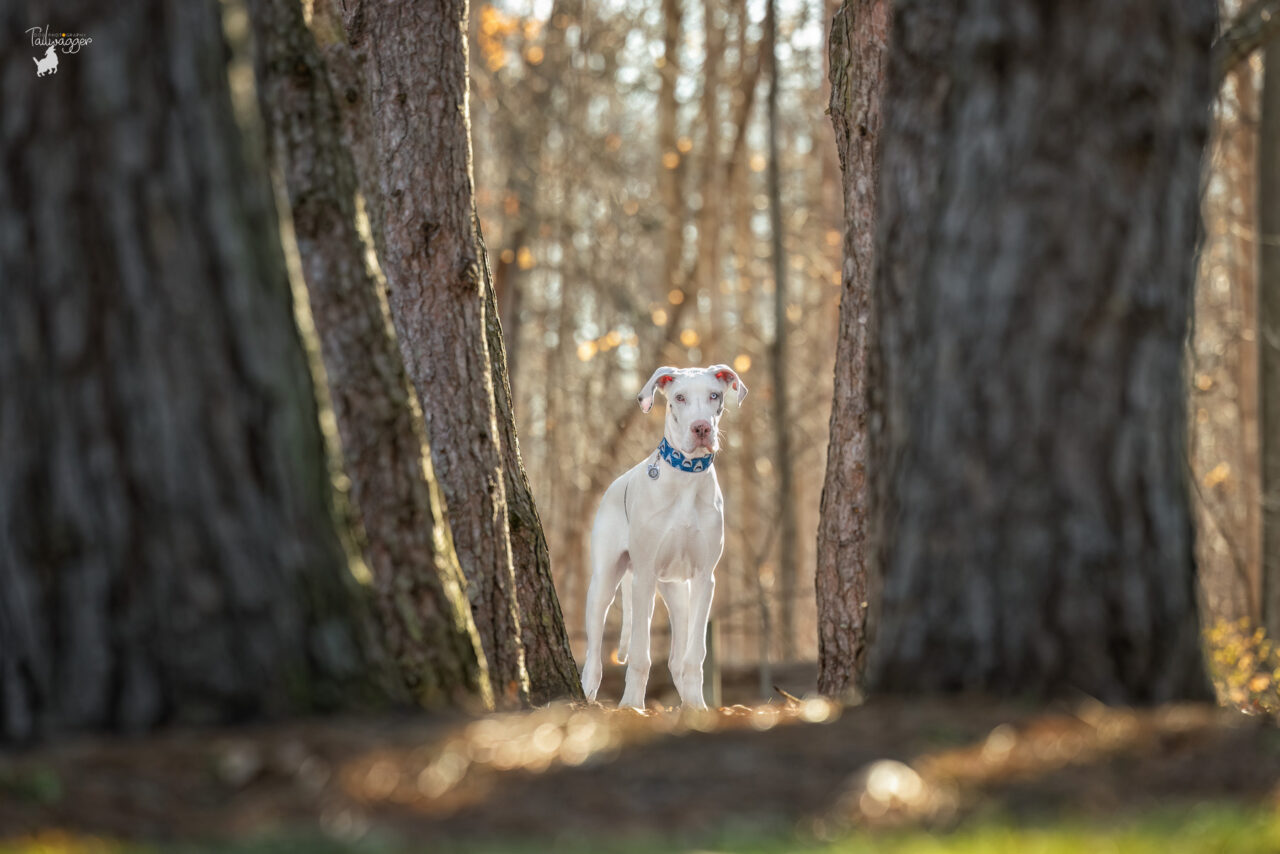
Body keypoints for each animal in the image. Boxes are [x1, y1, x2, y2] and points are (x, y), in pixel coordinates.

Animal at [583, 363, 747, 711]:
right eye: (679, 398)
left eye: (715, 395)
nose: (701, 428)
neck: (686, 475)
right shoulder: (644, 576)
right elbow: (640, 654)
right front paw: (632, 706)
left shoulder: (704, 578)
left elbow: (695, 654)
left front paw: (697, 707)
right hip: (606, 583)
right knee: (594, 653)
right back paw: (587, 694)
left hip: (677, 591)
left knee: (677, 657)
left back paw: (688, 699)